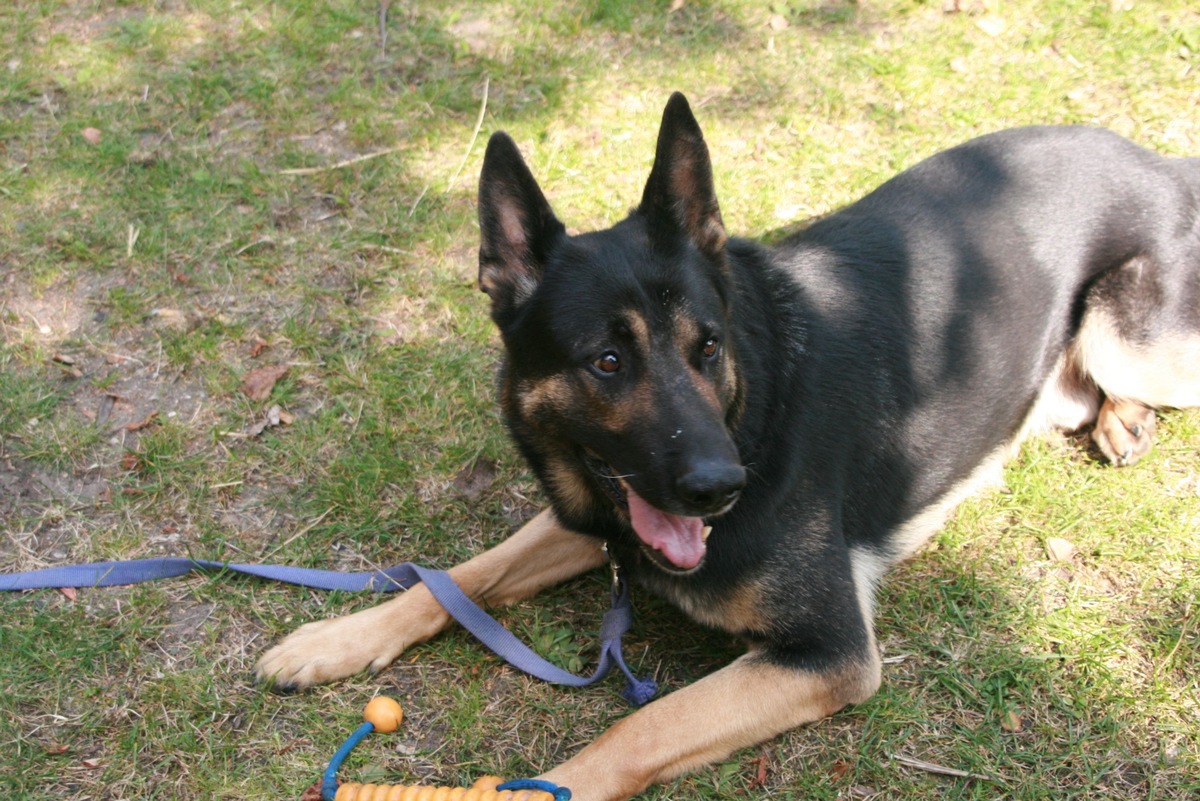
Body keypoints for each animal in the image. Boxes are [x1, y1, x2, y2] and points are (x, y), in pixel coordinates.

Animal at [258, 92, 1200, 796]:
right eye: (607, 360)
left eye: (707, 346)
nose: (721, 486)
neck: (751, 410)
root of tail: (1157, 160)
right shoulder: (596, 519)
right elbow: (457, 578)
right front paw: (335, 637)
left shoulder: (827, 653)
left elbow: (645, 723)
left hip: (1136, 345)